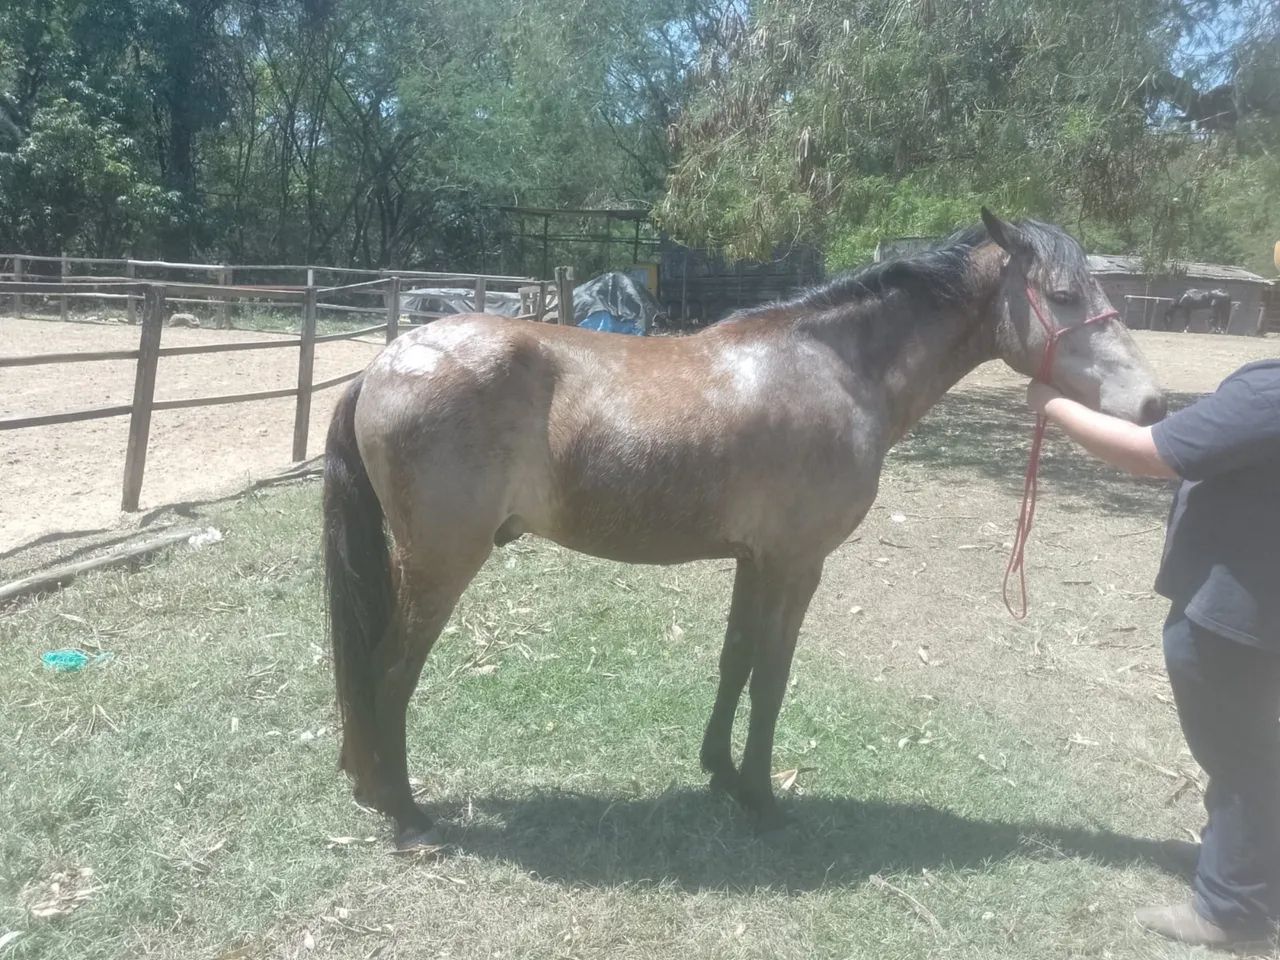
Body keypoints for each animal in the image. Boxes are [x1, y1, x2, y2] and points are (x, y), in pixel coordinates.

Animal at [322, 208, 1166, 850]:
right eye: (1062, 294)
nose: (1154, 403)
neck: (834, 369)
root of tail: (384, 362)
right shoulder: (797, 563)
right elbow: (771, 678)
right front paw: (762, 797)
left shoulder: (754, 561)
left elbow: (734, 663)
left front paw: (722, 774)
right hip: (440, 566)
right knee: (387, 673)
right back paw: (405, 811)